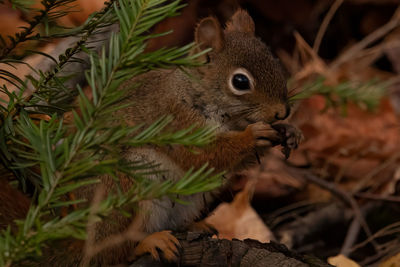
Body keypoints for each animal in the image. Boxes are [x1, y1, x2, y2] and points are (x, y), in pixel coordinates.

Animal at [0, 8, 302, 267]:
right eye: (240, 82)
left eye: (276, 63)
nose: (282, 111)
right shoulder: (175, 120)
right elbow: (205, 154)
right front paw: (254, 135)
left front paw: (290, 132)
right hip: (128, 191)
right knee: (112, 253)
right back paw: (149, 242)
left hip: (189, 200)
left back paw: (194, 226)